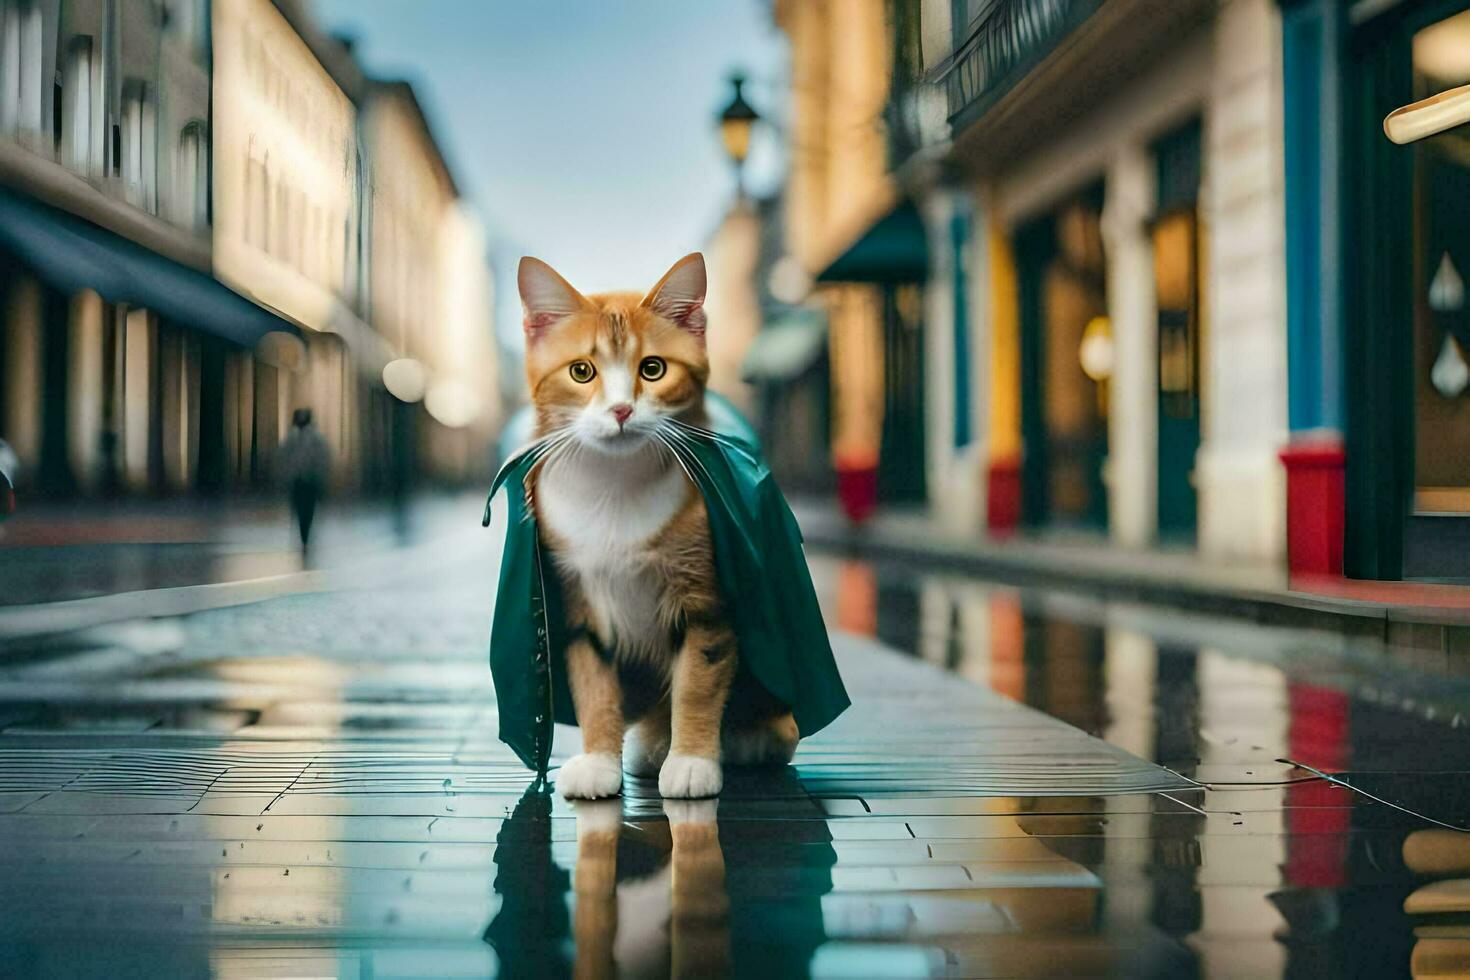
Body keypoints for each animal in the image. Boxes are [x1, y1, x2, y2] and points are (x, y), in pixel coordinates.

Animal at [517, 251, 793, 799]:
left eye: (653, 368)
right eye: (581, 371)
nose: (622, 409)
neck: (613, 490)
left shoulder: (706, 595)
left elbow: (698, 681)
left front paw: (692, 760)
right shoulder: (575, 600)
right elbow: (593, 684)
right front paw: (599, 759)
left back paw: (748, 738)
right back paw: (651, 740)